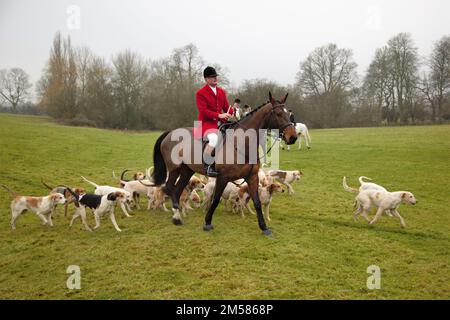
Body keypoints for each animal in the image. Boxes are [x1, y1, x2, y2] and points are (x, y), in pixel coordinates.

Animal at [151, 92, 298, 235]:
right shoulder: (223, 177)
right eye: (278, 114)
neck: (242, 143)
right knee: (169, 188)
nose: (293, 137)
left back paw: (178, 215)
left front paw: (264, 228)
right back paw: (176, 217)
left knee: (177, 191)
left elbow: (256, 202)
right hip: (174, 169)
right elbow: (215, 200)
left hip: (187, 171)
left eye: (288, 114)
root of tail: (170, 132)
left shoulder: (252, 177)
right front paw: (207, 223)